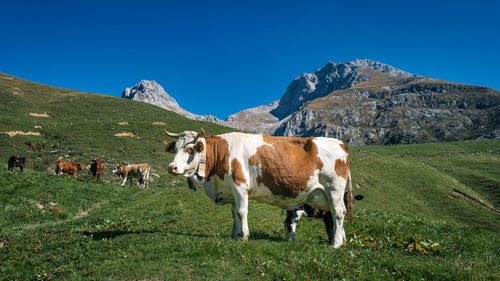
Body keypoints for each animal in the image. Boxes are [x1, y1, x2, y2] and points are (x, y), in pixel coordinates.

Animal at [163, 128, 352, 246]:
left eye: (190, 149)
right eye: (175, 148)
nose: (171, 167)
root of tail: (341, 144)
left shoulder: (240, 185)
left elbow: (242, 212)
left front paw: (244, 236)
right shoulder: (231, 190)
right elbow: (234, 213)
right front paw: (235, 235)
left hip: (334, 189)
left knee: (338, 213)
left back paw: (335, 244)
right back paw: (341, 240)